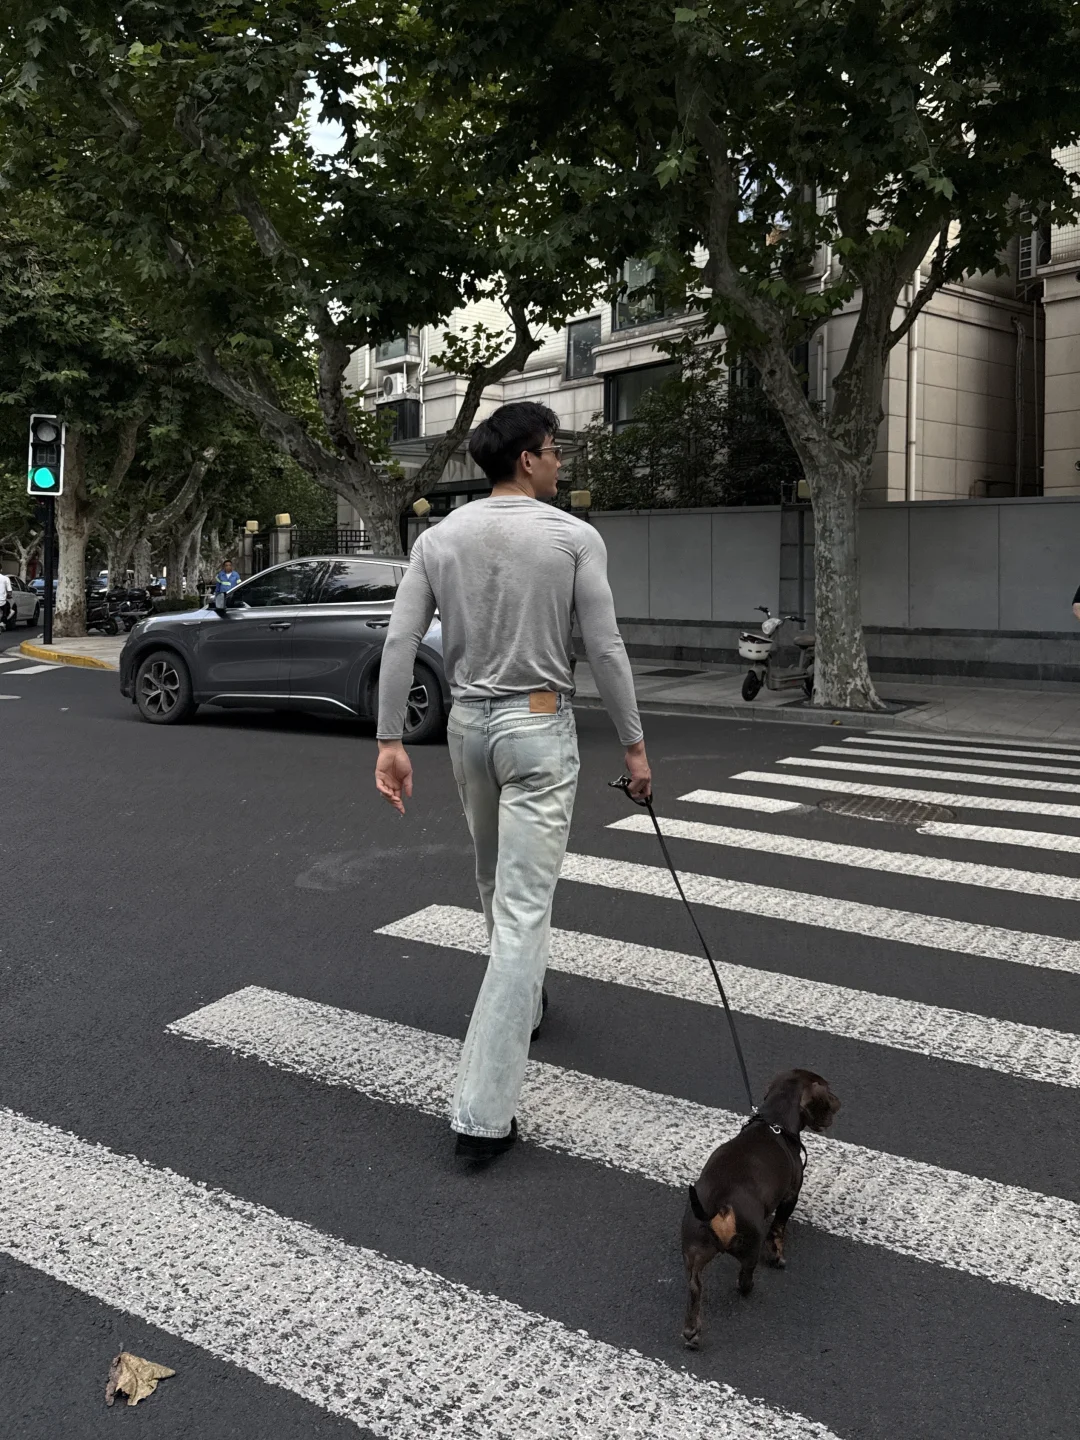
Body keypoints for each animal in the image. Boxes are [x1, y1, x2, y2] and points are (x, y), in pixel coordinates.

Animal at [680, 1068, 840, 1349]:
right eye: (828, 1091)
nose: (839, 1102)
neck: (773, 1123)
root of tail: (721, 1207)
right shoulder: (790, 1197)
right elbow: (778, 1230)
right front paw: (777, 1256)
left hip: (694, 1253)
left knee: (695, 1288)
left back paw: (691, 1332)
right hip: (749, 1250)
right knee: (745, 1277)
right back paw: (748, 1287)